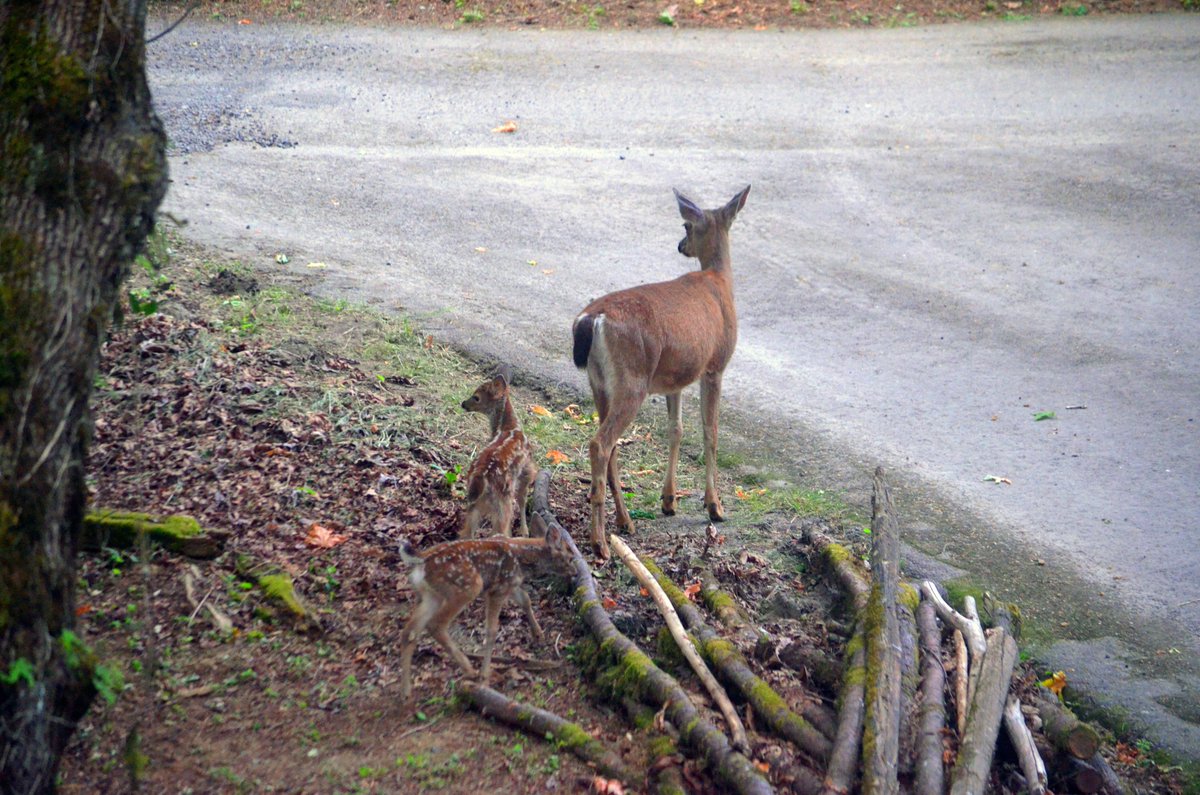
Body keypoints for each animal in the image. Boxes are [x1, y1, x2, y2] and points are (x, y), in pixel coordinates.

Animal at [396, 521, 572, 703]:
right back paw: (469, 670)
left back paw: (405, 691)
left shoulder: (511, 585)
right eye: (570, 556)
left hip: (431, 595)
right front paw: (485, 677)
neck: (522, 559)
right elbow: (492, 630)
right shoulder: (498, 589)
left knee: (409, 632)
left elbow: (526, 599)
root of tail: (422, 560)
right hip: (468, 587)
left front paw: (538, 635)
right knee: (435, 625)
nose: (574, 572)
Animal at [459, 366, 538, 538]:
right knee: (500, 531)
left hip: (474, 505)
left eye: (476, 397)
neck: (509, 426)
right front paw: (524, 531)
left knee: (467, 532)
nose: (463, 404)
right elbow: (522, 499)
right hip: (503, 502)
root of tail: (480, 480)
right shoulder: (527, 469)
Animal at [572, 186, 750, 560]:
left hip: (600, 383)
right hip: (632, 381)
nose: (680, 246)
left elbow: (676, 429)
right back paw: (599, 542)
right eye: (686, 224)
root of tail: (592, 320)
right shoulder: (715, 366)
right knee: (600, 443)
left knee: (611, 446)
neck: (719, 281)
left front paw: (669, 500)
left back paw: (624, 522)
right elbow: (710, 432)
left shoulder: (675, 379)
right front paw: (715, 506)